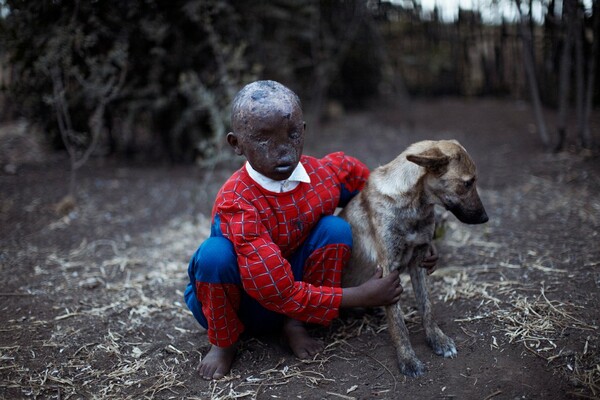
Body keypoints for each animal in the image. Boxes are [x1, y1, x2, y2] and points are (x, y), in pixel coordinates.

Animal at [338, 140, 488, 378]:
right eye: (467, 183)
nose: (485, 218)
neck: (413, 205)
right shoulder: (388, 270)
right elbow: (398, 324)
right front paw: (408, 359)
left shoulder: (419, 260)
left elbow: (427, 308)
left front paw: (437, 340)